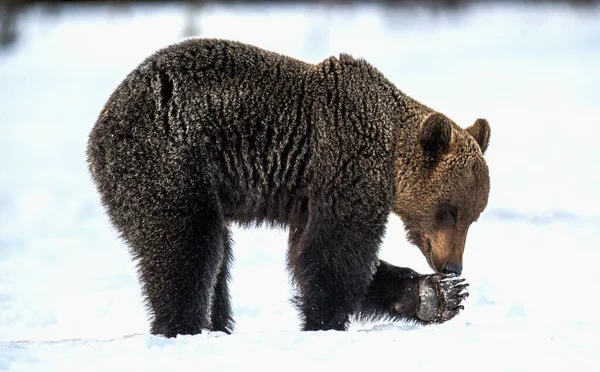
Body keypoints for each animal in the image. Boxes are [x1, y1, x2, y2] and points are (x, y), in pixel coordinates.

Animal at [86, 37, 490, 338]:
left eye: (474, 216)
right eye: (449, 212)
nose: (453, 266)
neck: (390, 156)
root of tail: (98, 133)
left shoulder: (310, 194)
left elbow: (311, 252)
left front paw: (437, 296)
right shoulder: (344, 166)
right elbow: (335, 254)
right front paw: (325, 322)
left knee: (216, 255)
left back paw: (217, 324)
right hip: (170, 163)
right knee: (188, 248)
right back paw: (183, 326)